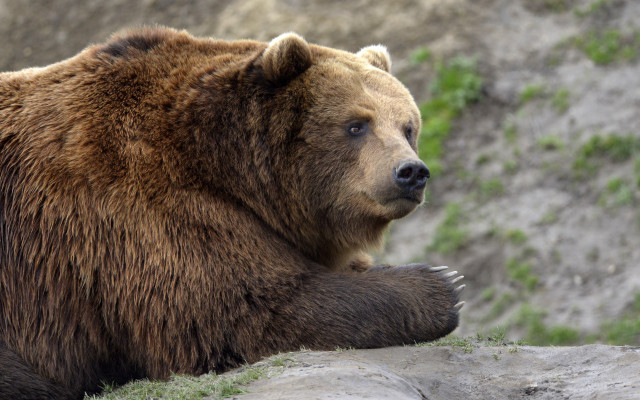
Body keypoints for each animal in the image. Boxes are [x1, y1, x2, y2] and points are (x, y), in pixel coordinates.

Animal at [0, 27, 464, 399]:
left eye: (407, 127)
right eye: (356, 125)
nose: (411, 172)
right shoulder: (143, 208)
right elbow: (243, 310)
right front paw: (442, 284)